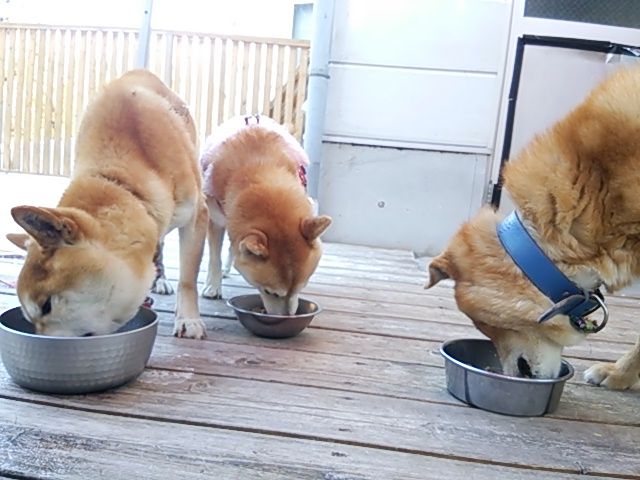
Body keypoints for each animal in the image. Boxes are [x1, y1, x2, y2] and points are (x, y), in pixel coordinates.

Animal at [6, 69, 208, 338]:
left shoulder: (197, 216)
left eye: (46, 306)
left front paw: (188, 319)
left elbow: (188, 279)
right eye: (30, 319)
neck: (124, 181)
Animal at [200, 115, 331, 315]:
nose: (287, 317)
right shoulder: (215, 220)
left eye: (301, 288)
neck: (258, 170)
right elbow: (215, 257)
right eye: (270, 293)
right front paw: (213, 287)